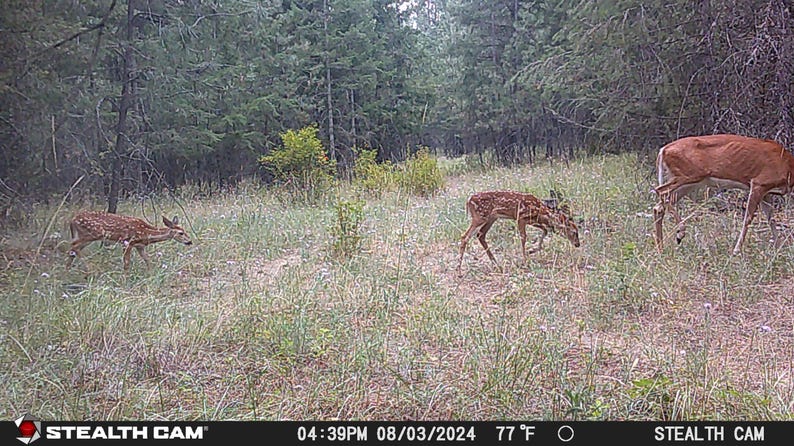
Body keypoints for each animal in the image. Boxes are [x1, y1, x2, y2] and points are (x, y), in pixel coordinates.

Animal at [653, 133, 794, 255]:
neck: (788, 166)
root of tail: (663, 150)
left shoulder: (767, 192)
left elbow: (771, 219)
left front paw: (779, 248)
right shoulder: (759, 183)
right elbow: (748, 218)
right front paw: (736, 251)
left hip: (688, 181)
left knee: (659, 205)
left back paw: (661, 248)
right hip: (689, 175)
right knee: (660, 191)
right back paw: (679, 233)